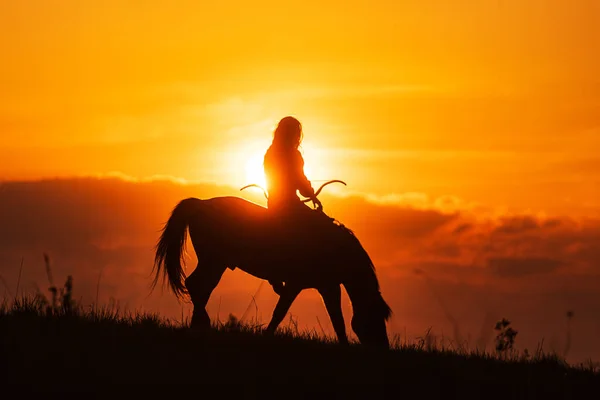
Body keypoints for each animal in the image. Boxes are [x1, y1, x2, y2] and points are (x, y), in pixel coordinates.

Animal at [152, 181, 392, 346]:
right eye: (375, 317)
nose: (383, 348)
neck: (335, 248)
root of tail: (199, 204)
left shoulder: (327, 287)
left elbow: (336, 318)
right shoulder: (298, 284)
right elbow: (281, 312)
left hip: (214, 262)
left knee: (200, 287)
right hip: (213, 261)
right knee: (197, 286)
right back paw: (203, 324)